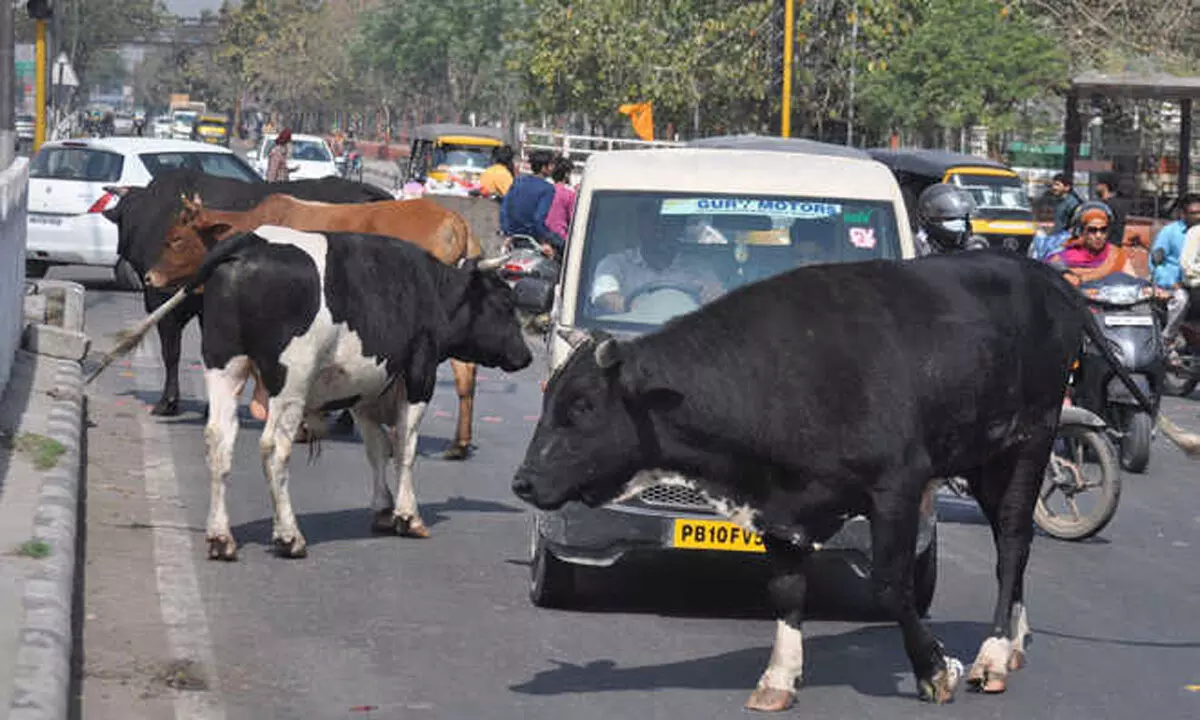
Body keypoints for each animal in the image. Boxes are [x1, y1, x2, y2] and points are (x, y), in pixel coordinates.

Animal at [148, 225, 530, 556]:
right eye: (505, 304)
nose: (525, 355)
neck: (430, 289)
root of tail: (252, 241)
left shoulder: (366, 388)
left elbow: (377, 449)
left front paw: (383, 509)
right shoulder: (418, 375)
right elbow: (404, 448)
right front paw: (407, 516)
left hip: (225, 366)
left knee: (219, 440)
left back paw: (220, 536)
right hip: (292, 380)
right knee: (274, 449)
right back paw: (288, 536)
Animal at [511, 250, 1176, 710]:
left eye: (581, 408)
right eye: (550, 400)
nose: (523, 482)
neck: (780, 377)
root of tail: (1036, 272)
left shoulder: (898, 487)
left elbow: (891, 585)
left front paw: (935, 670)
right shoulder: (777, 506)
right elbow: (785, 591)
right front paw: (779, 677)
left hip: (1030, 441)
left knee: (1012, 543)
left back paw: (990, 656)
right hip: (983, 457)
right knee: (1016, 548)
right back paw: (1013, 640)